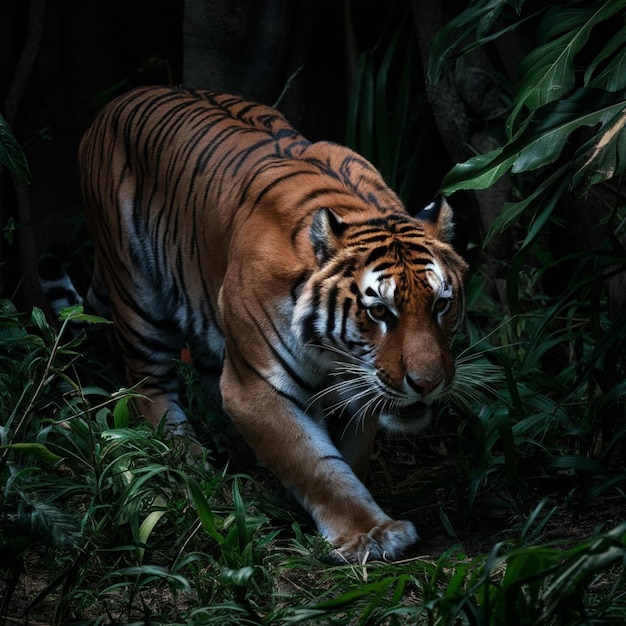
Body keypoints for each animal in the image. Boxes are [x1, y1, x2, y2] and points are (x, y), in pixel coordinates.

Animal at [78, 84, 466, 560]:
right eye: (379, 312)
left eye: (441, 305)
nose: (428, 384)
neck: (335, 357)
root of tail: (119, 100)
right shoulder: (255, 387)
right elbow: (316, 464)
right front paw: (369, 535)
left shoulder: (356, 390)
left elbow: (347, 456)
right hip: (137, 297)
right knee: (149, 388)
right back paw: (188, 463)